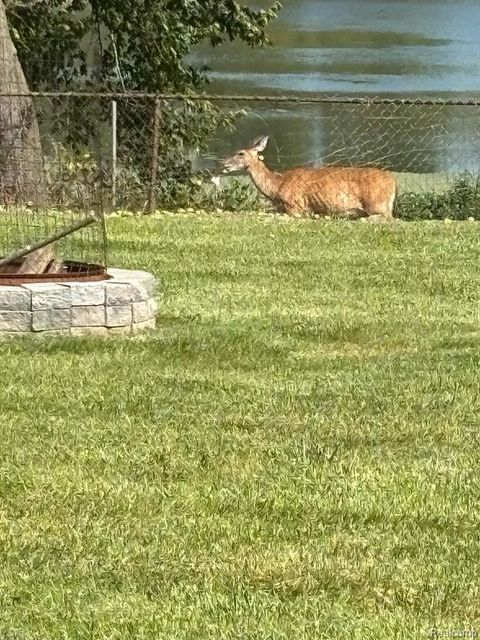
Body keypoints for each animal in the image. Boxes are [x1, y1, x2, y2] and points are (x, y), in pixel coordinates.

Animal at [219, 134, 396, 220]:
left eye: (240, 153)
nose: (222, 161)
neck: (277, 185)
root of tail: (393, 182)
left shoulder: (295, 206)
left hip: (376, 203)